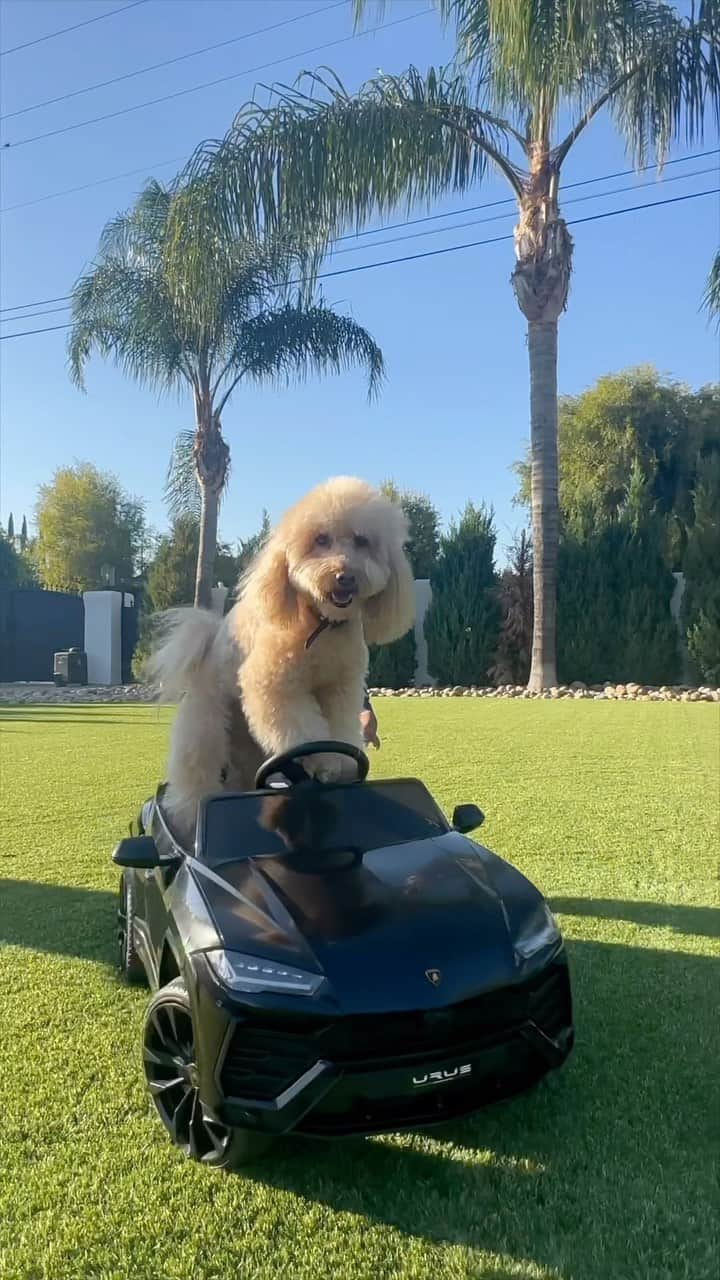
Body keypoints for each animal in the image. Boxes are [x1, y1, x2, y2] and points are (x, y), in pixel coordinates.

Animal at [146, 478, 412, 839]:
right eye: (320, 539)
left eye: (362, 541)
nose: (344, 575)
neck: (320, 625)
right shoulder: (274, 686)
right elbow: (302, 728)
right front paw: (325, 762)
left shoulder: (340, 689)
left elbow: (340, 727)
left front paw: (338, 765)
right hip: (206, 729)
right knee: (195, 778)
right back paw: (187, 820)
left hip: (249, 749)